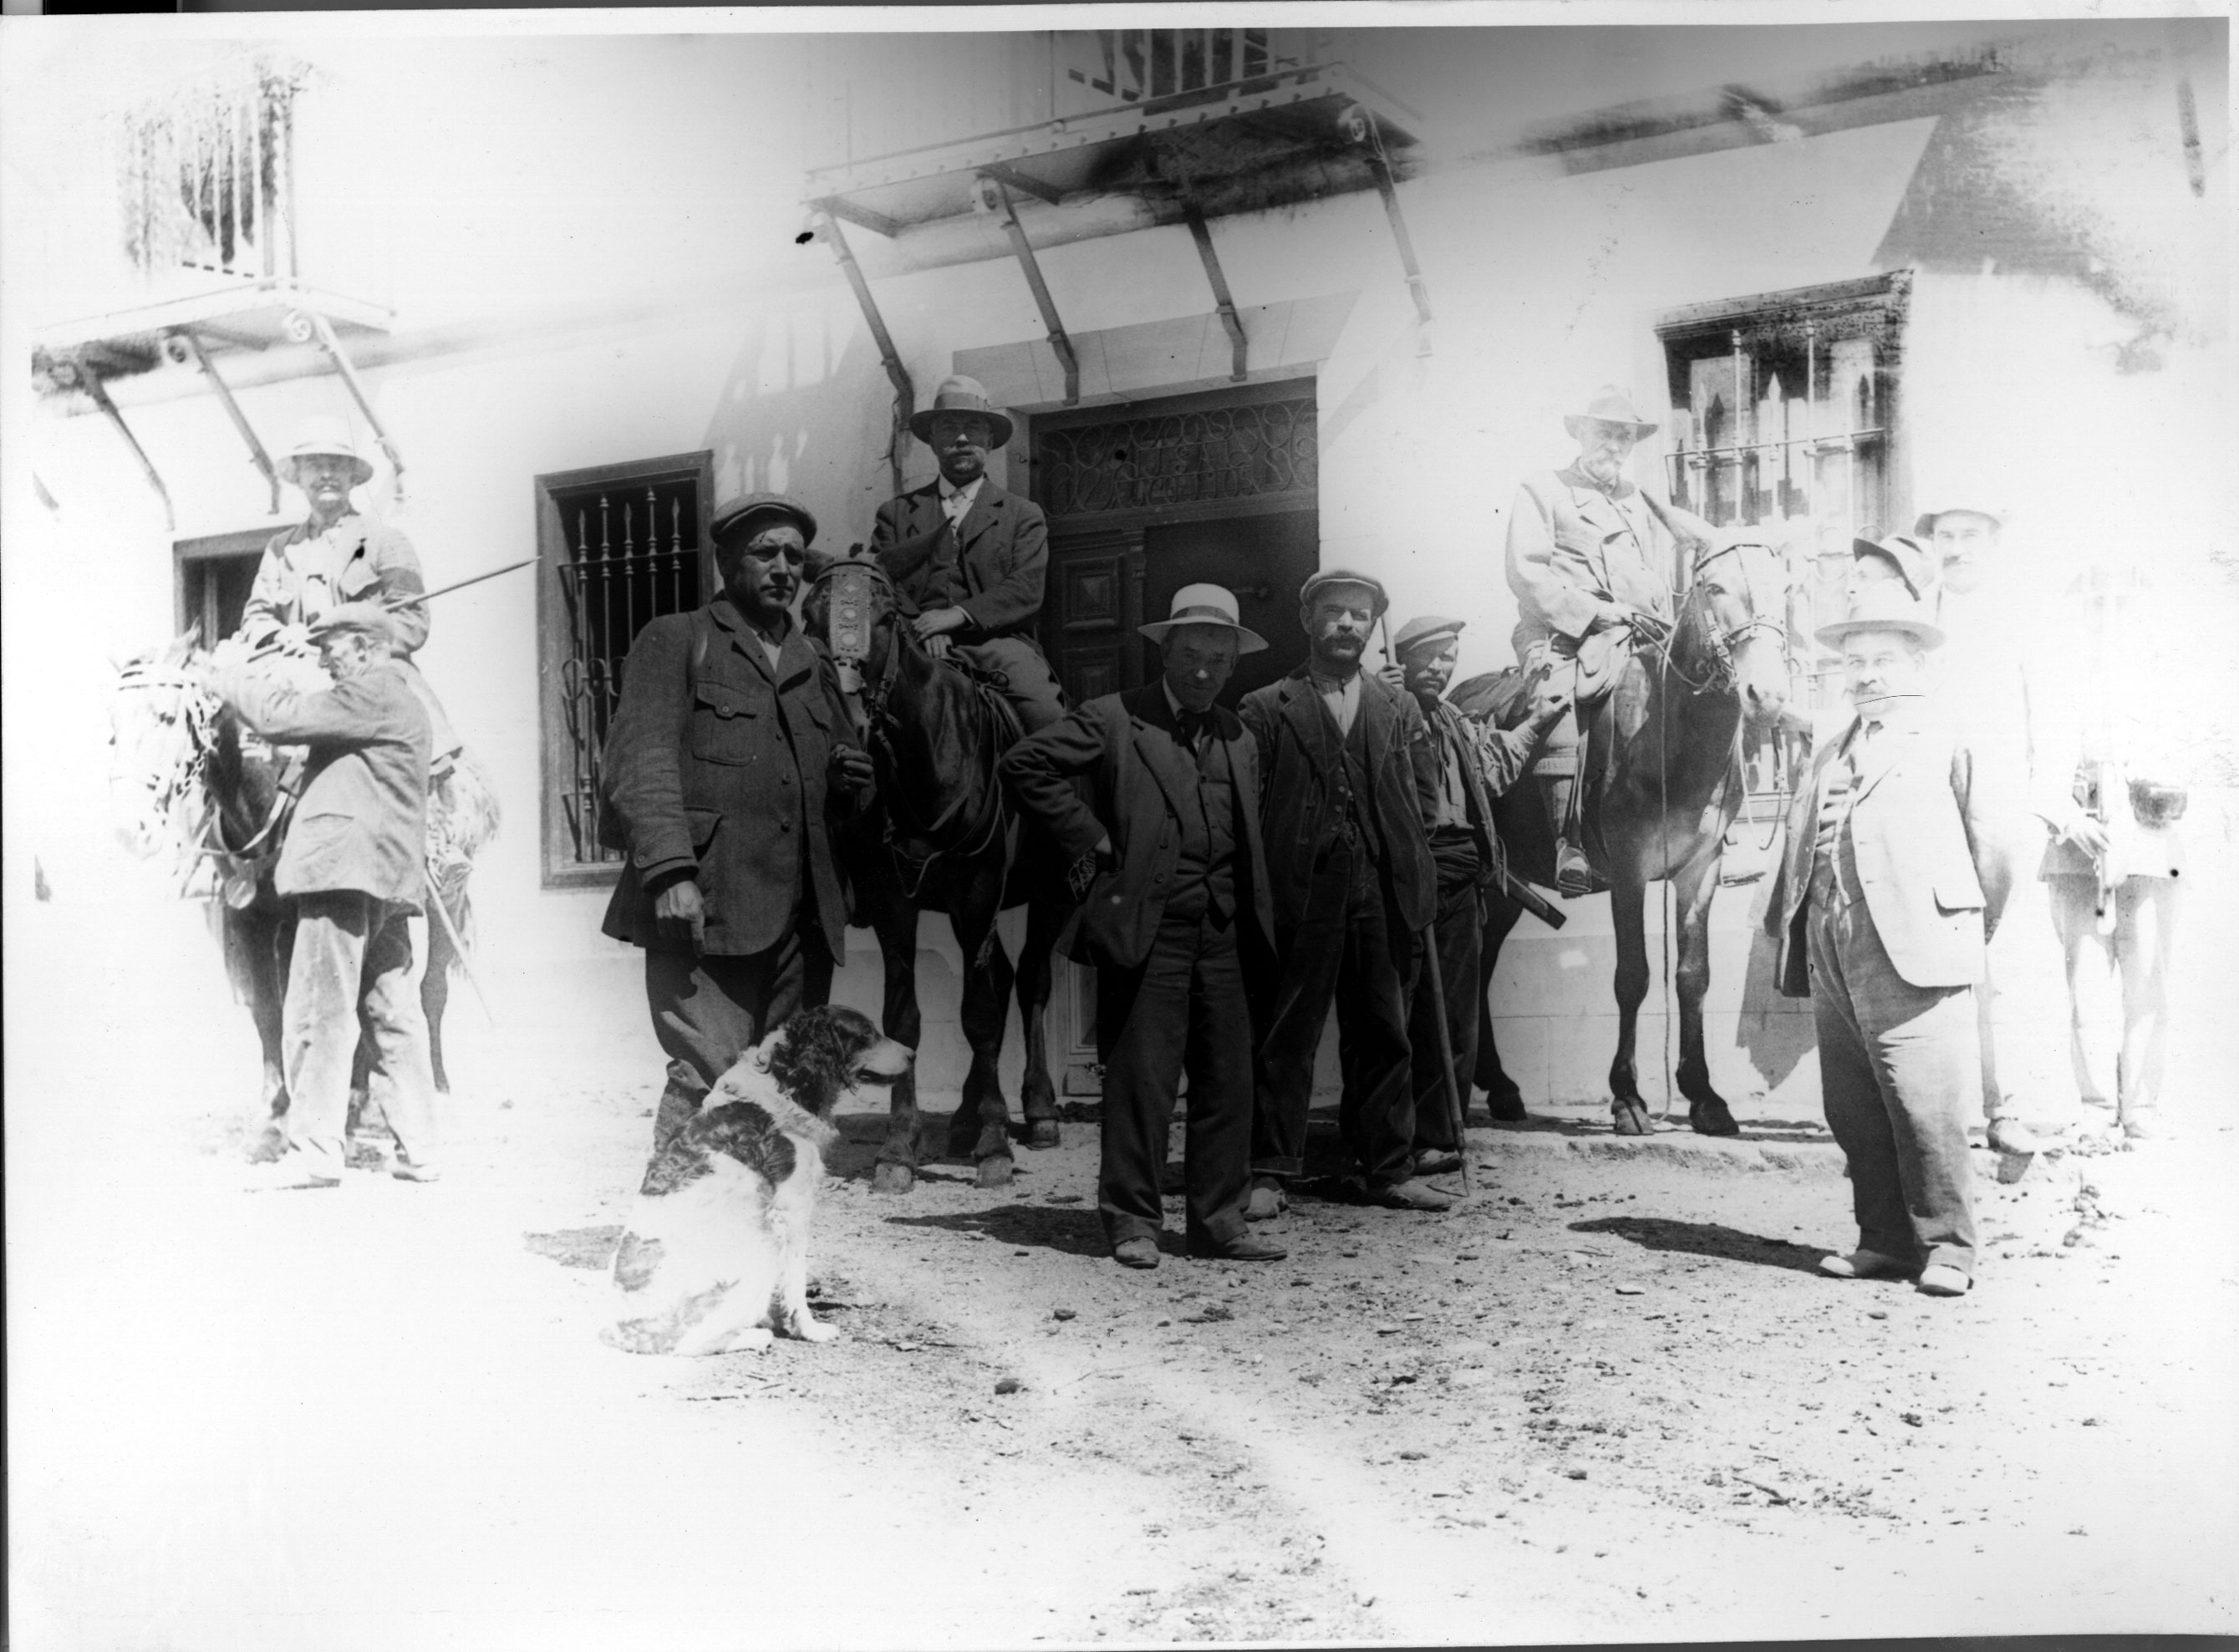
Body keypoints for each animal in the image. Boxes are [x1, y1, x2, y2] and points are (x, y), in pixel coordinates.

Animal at [604, 998, 908, 1360]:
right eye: (865, 1035)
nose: (913, 1054)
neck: (784, 1078)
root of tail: (623, 1330)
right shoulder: (791, 1211)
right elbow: (794, 1281)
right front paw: (810, 1330)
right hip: (755, 1256)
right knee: (685, 1344)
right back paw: (755, 1336)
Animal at [806, 564, 1074, 1182]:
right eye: (809, 620)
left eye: (885, 618)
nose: (849, 730)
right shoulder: (893, 902)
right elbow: (904, 1020)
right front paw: (898, 1148)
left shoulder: (977, 893)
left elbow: (979, 1016)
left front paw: (996, 1144)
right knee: (1001, 978)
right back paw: (964, 1118)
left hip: (1050, 894)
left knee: (1030, 982)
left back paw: (1038, 1111)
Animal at [1459, 541, 1791, 1132]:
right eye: (1715, 588)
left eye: (1788, 588)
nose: (1769, 695)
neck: (1671, 732)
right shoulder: (1629, 873)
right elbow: (1633, 976)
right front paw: (1628, 1098)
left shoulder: (1699, 871)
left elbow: (1693, 975)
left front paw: (1704, 1096)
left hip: (1505, 886)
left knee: (1483, 961)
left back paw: (1499, 1087)